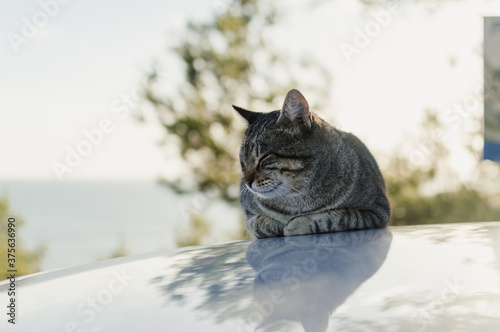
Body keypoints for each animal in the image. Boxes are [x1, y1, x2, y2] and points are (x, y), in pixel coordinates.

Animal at [234, 89, 390, 237]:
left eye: (263, 157)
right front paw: (276, 224)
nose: (247, 182)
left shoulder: (377, 210)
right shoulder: (249, 215)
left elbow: (337, 217)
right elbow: (257, 223)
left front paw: (297, 224)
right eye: (243, 161)